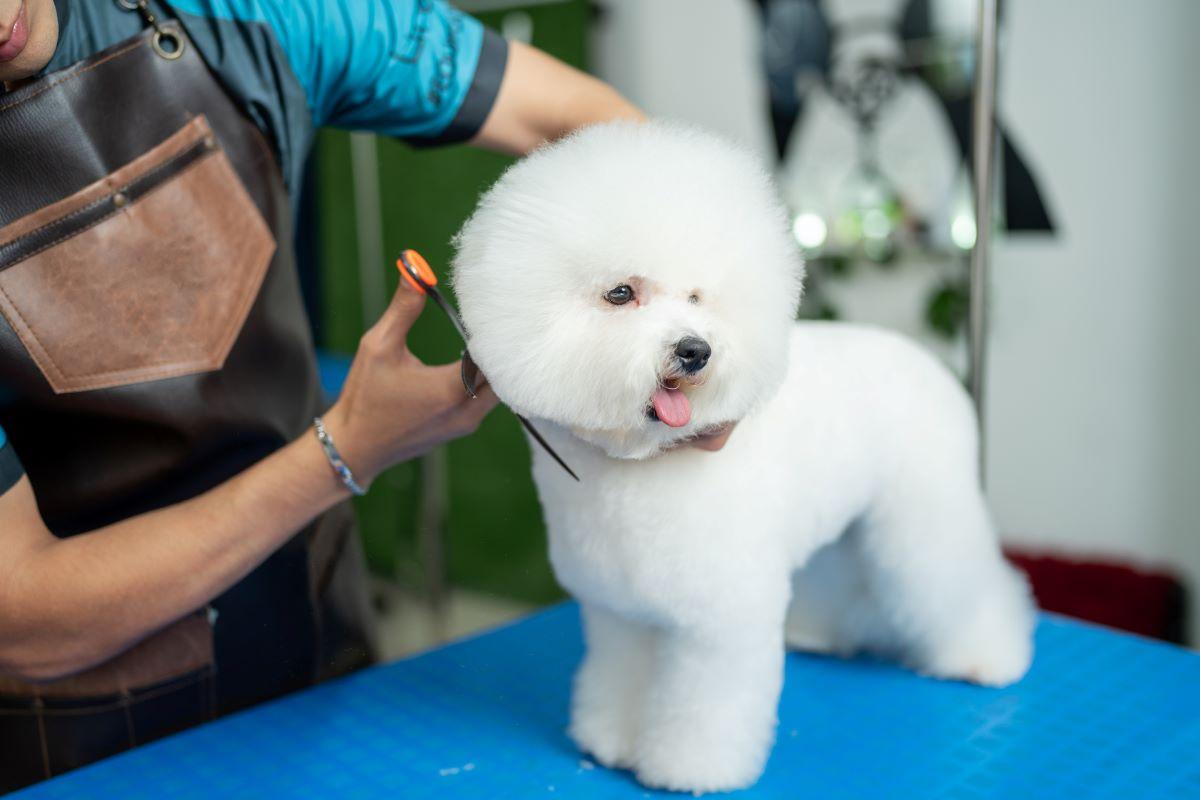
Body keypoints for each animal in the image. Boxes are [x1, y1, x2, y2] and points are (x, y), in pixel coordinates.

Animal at [451, 122, 1032, 791]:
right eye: (620, 293)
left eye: (697, 297)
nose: (695, 349)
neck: (635, 470)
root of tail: (929, 364)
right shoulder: (621, 615)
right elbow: (623, 677)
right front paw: (614, 740)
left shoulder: (719, 619)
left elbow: (707, 705)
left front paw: (689, 768)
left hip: (925, 515)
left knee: (960, 585)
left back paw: (989, 655)